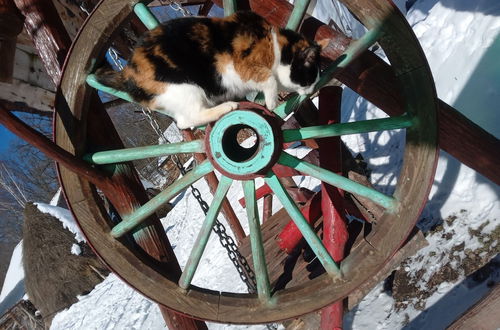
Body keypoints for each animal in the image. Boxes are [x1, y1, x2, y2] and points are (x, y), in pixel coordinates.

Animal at [94, 11, 328, 129]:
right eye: (308, 80)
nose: (311, 92)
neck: (277, 46)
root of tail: (126, 72)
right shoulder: (242, 65)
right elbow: (268, 79)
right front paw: (272, 102)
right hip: (184, 87)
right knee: (188, 120)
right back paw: (227, 106)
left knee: (184, 120)